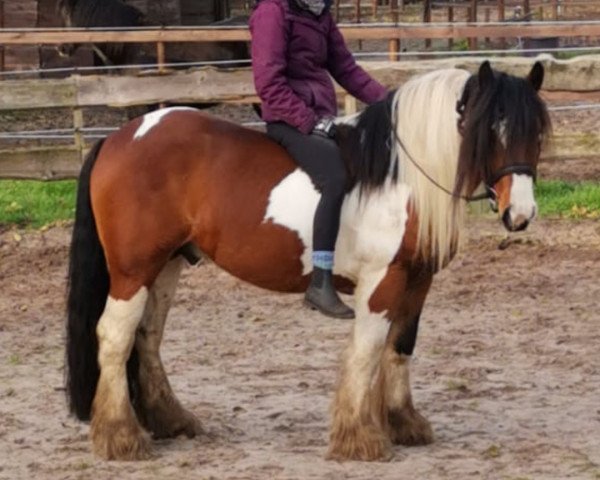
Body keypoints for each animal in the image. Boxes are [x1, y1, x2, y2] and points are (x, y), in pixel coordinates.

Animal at [64, 61, 548, 462]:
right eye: (492, 131)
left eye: (537, 134)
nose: (520, 214)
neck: (400, 177)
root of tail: (120, 137)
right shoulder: (383, 280)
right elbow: (367, 350)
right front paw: (359, 438)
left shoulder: (417, 280)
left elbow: (399, 347)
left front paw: (403, 424)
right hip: (133, 269)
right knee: (115, 337)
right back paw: (120, 437)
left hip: (166, 264)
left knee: (146, 336)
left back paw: (171, 421)